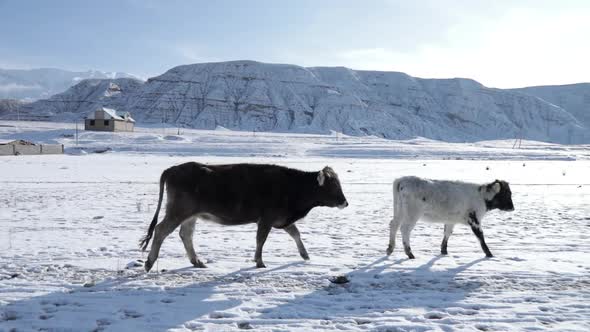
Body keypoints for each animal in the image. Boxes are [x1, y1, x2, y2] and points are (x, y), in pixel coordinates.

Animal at [140, 162, 350, 272]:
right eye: (333, 186)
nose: (345, 202)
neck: (293, 186)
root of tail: (173, 169)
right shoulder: (266, 219)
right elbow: (261, 239)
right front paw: (259, 261)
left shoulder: (281, 220)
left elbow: (296, 233)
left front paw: (305, 255)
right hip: (178, 211)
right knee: (160, 230)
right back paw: (149, 263)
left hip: (190, 215)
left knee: (186, 235)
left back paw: (197, 261)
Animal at [386, 176, 516, 260]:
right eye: (507, 193)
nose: (512, 208)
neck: (481, 196)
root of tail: (402, 180)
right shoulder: (474, 219)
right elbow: (480, 237)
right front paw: (489, 254)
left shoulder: (451, 220)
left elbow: (447, 233)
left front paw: (444, 251)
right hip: (412, 214)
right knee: (405, 229)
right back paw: (409, 253)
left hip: (399, 211)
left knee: (393, 225)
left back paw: (390, 249)